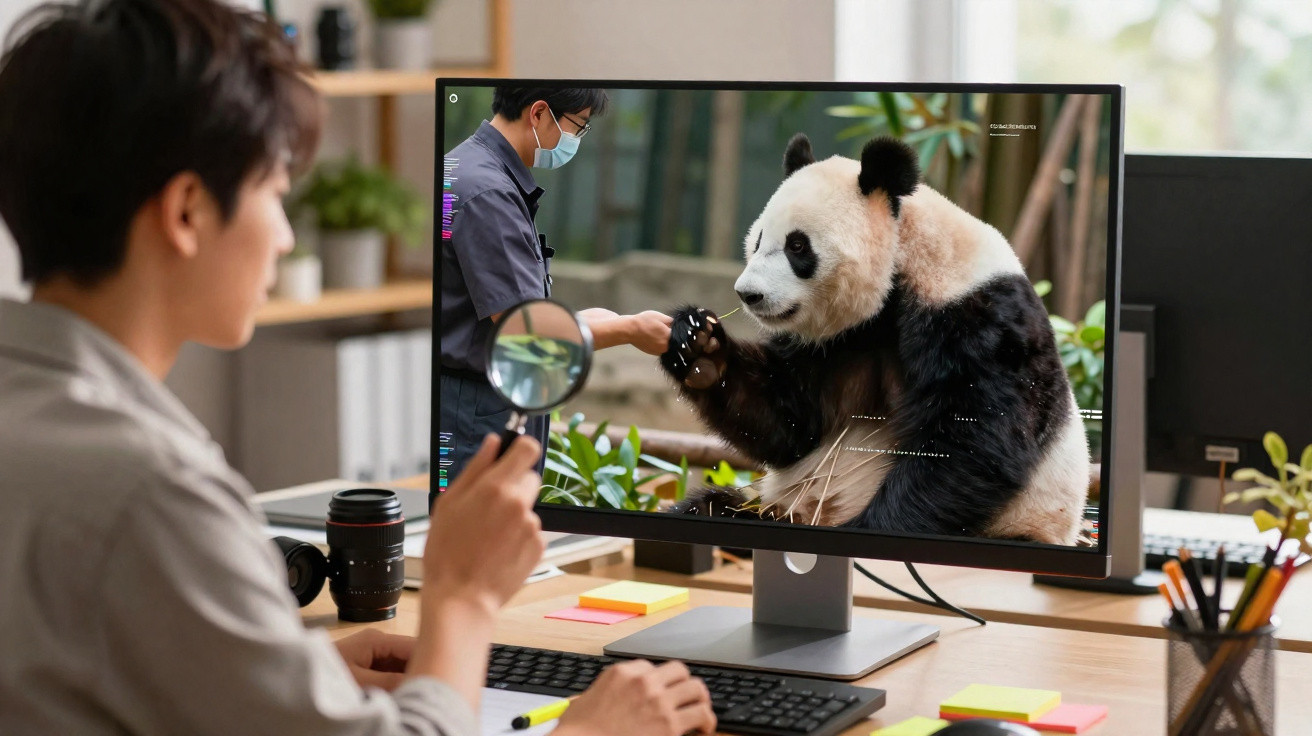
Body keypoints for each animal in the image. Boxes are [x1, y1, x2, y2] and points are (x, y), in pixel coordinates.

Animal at [659, 133, 1089, 545]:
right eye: (759, 240)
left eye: (798, 245)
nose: (748, 294)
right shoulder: (840, 341)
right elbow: (790, 422)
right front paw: (700, 348)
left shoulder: (980, 323)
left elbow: (973, 443)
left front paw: (872, 527)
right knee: (714, 506)